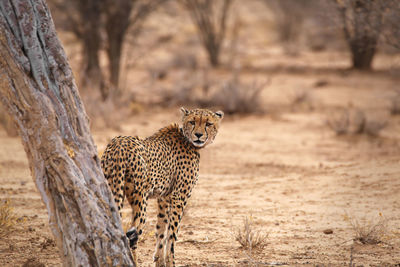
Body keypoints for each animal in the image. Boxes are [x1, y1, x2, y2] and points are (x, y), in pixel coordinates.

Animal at [101, 108, 223, 266]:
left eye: (208, 123)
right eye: (192, 122)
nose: (198, 135)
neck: (187, 139)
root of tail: (119, 144)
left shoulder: (164, 198)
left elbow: (161, 229)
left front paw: (159, 260)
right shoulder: (179, 197)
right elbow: (172, 234)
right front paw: (171, 261)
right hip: (140, 199)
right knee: (132, 234)